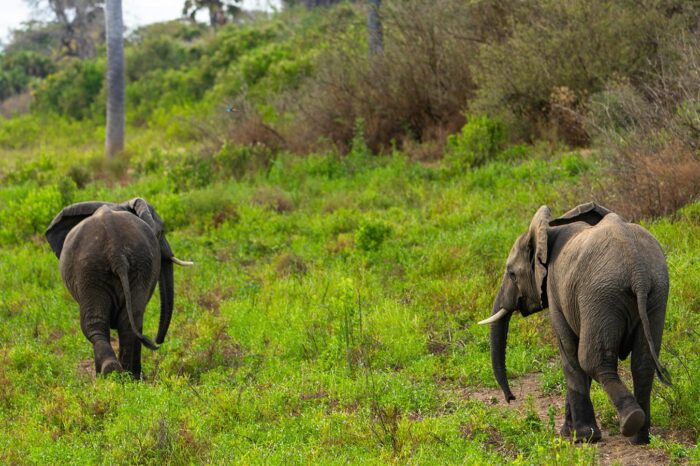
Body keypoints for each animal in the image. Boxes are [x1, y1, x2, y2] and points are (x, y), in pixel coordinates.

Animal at [46, 198, 193, 378]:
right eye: (162, 231)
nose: (158, 341)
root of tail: (115, 251)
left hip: (99, 268)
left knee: (99, 324)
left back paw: (117, 374)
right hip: (109, 266)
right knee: (125, 322)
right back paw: (121, 374)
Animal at [480, 202, 671, 444]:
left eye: (512, 274)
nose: (511, 398)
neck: (548, 232)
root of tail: (638, 272)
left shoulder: (556, 290)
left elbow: (570, 351)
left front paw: (581, 437)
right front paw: (569, 433)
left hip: (601, 295)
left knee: (592, 360)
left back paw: (630, 422)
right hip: (656, 293)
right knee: (643, 363)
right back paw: (640, 438)